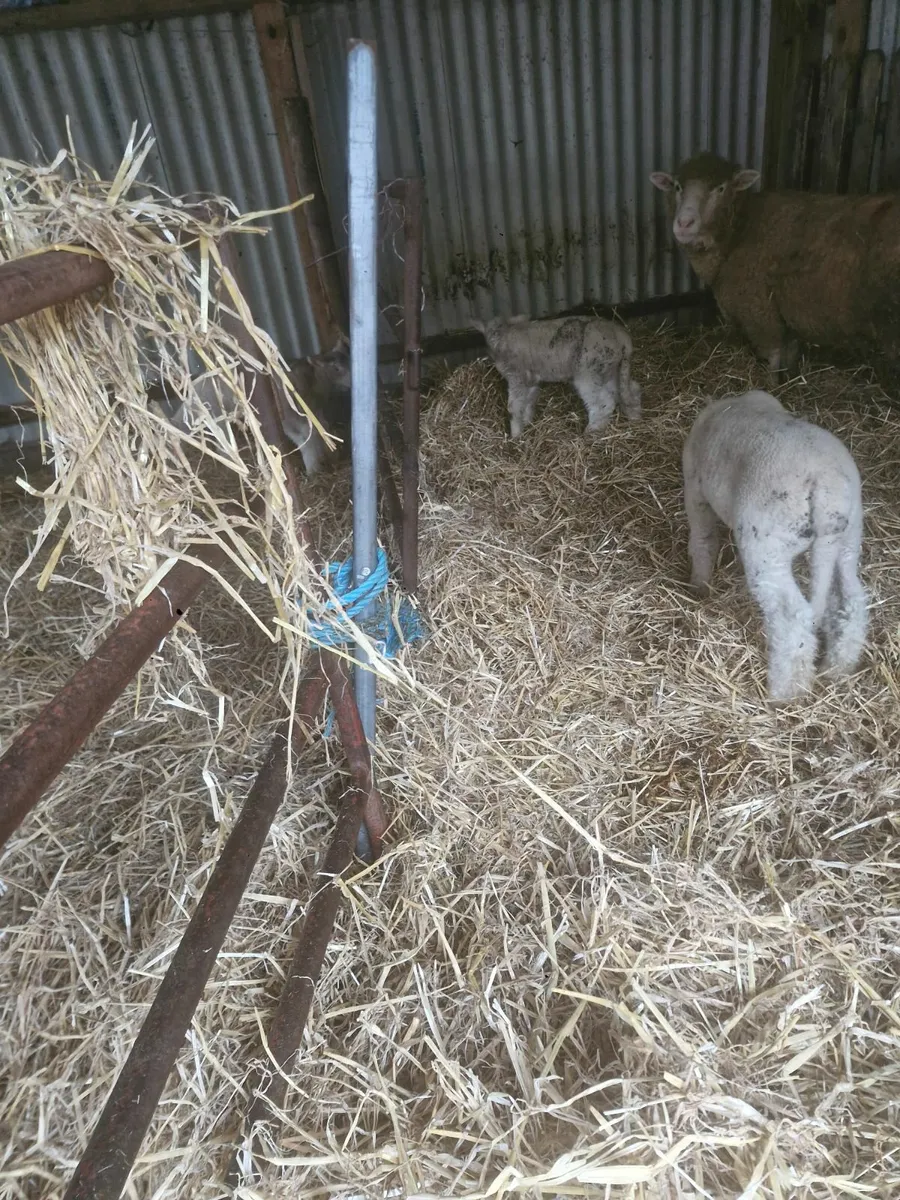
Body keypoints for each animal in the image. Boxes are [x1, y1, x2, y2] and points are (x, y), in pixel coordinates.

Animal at [471, 314, 642, 439]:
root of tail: (622, 337)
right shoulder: (530, 379)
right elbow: (528, 401)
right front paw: (526, 423)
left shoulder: (517, 376)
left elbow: (514, 407)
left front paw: (515, 435)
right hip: (610, 370)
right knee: (631, 390)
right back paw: (634, 415)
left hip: (588, 372)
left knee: (603, 402)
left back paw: (591, 431)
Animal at [650, 151, 900, 382]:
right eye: (678, 186)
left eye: (720, 188)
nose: (684, 223)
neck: (739, 231)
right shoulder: (783, 313)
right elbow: (789, 351)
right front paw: (788, 379)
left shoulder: (759, 311)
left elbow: (774, 355)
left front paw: (771, 386)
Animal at [682, 389, 867, 704]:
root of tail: (828, 490)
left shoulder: (695, 489)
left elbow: (702, 539)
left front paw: (699, 586)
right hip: (849, 536)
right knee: (851, 600)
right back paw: (837, 668)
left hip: (766, 544)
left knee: (792, 617)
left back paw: (786, 691)